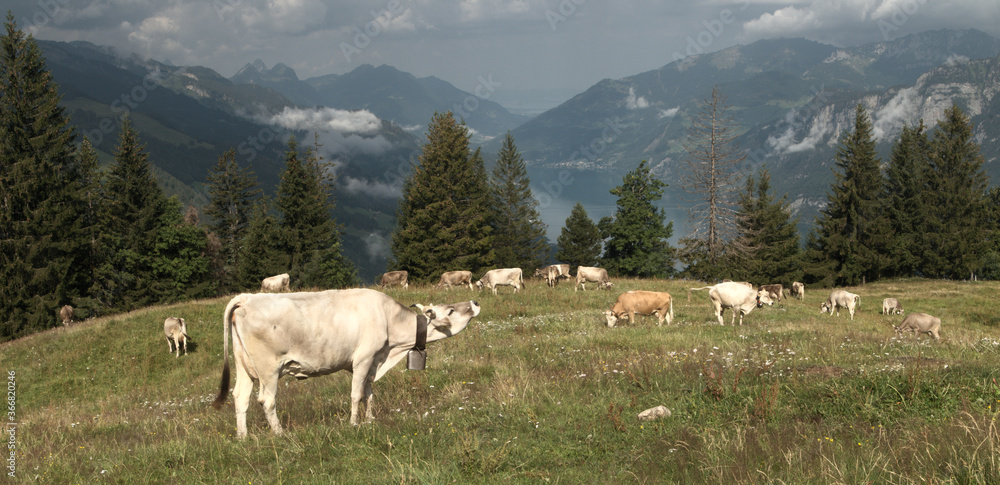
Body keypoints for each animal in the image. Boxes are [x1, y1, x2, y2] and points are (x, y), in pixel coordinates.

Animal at [211, 289, 481, 437]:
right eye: (451, 310)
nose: (475, 302)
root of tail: (246, 298)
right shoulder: (363, 358)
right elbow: (355, 394)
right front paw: (354, 424)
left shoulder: (371, 362)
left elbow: (369, 393)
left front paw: (370, 420)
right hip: (269, 368)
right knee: (266, 400)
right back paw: (279, 434)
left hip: (244, 366)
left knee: (240, 397)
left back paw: (243, 437)